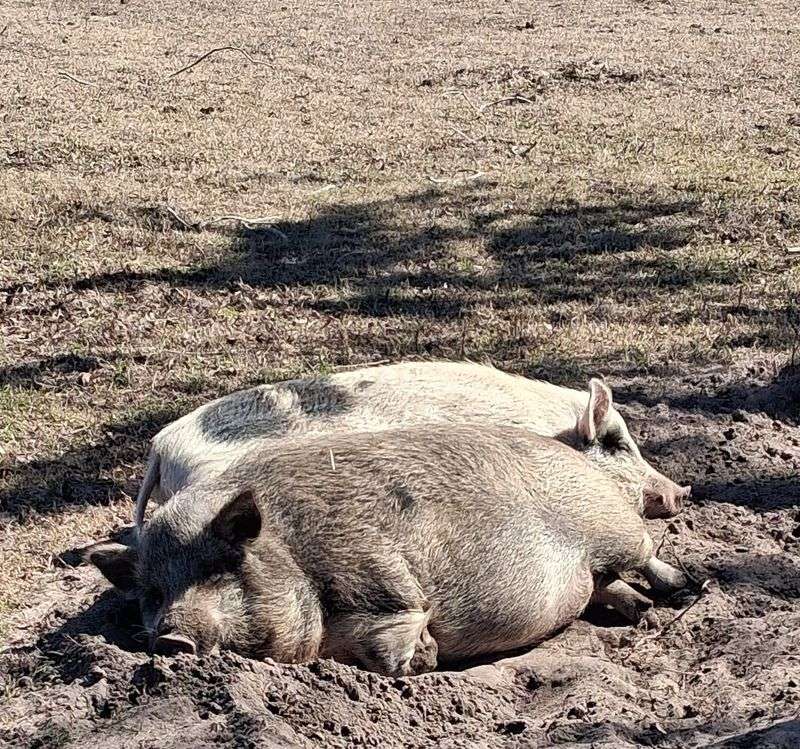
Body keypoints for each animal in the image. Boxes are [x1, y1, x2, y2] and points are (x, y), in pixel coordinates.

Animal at [90, 424, 689, 674]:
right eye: (151, 593)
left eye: (221, 568)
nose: (172, 638)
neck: (295, 554)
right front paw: (427, 655)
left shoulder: (376, 571)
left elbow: (401, 614)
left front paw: (424, 656)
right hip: (596, 567)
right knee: (603, 587)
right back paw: (642, 612)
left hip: (613, 527)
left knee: (646, 555)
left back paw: (687, 589)